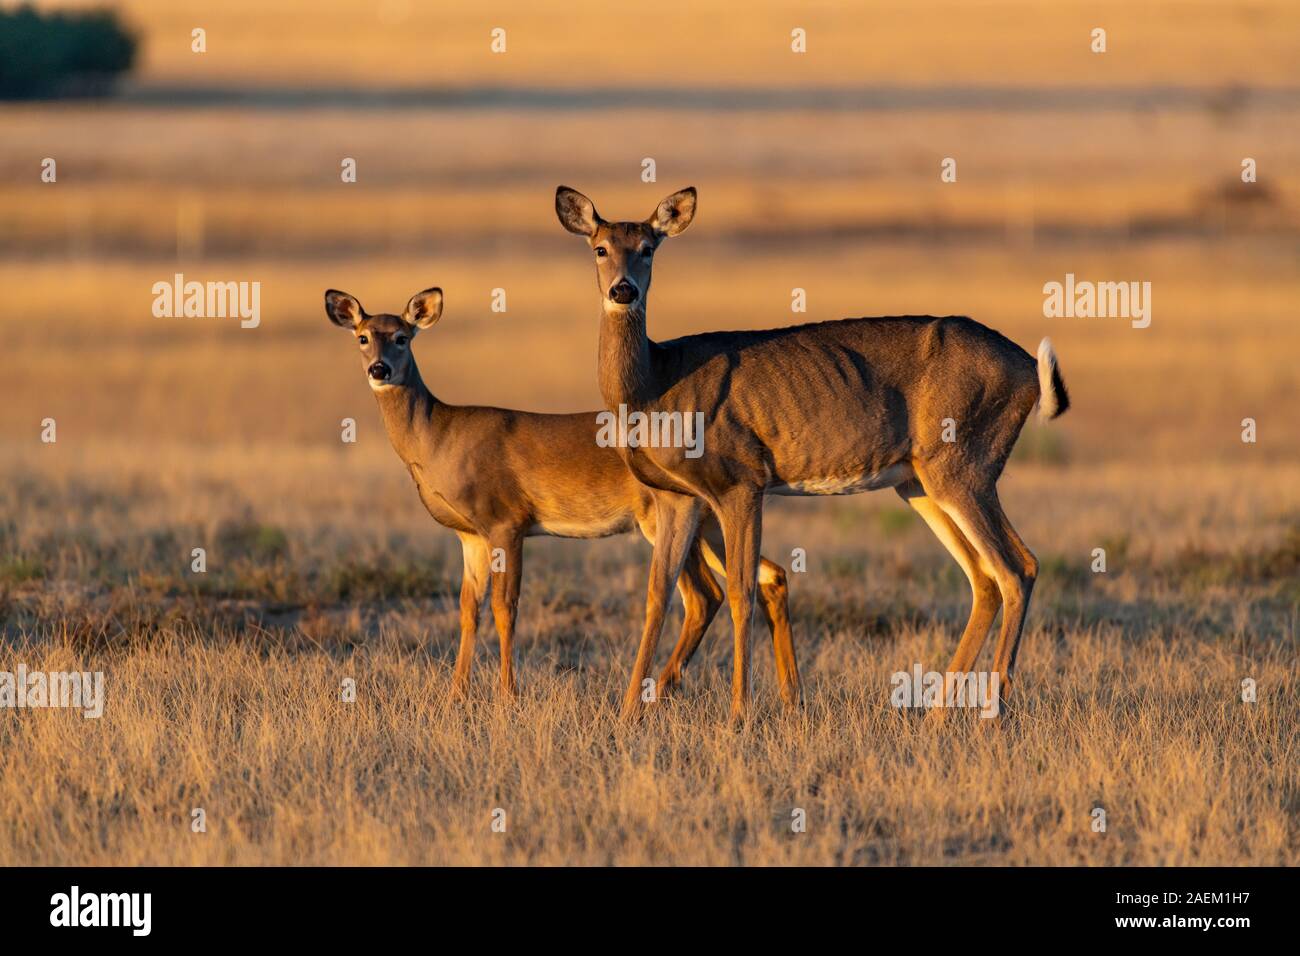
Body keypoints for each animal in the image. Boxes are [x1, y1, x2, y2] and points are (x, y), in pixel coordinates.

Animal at [325, 283, 800, 712]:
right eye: (362, 336)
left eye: (402, 336)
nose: (380, 370)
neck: (439, 437)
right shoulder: (470, 535)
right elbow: (467, 608)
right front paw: (455, 696)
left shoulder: (505, 521)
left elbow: (505, 607)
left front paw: (508, 698)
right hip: (708, 520)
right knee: (766, 576)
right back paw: (783, 698)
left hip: (667, 516)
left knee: (703, 594)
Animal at [553, 184, 1071, 723]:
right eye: (600, 248)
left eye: (648, 248)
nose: (623, 291)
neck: (657, 384)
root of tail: (1030, 370)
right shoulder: (677, 496)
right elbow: (658, 593)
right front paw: (626, 712)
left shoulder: (742, 480)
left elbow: (741, 590)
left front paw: (739, 714)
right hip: (919, 482)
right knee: (985, 578)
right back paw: (937, 716)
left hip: (964, 466)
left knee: (1018, 568)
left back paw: (992, 714)